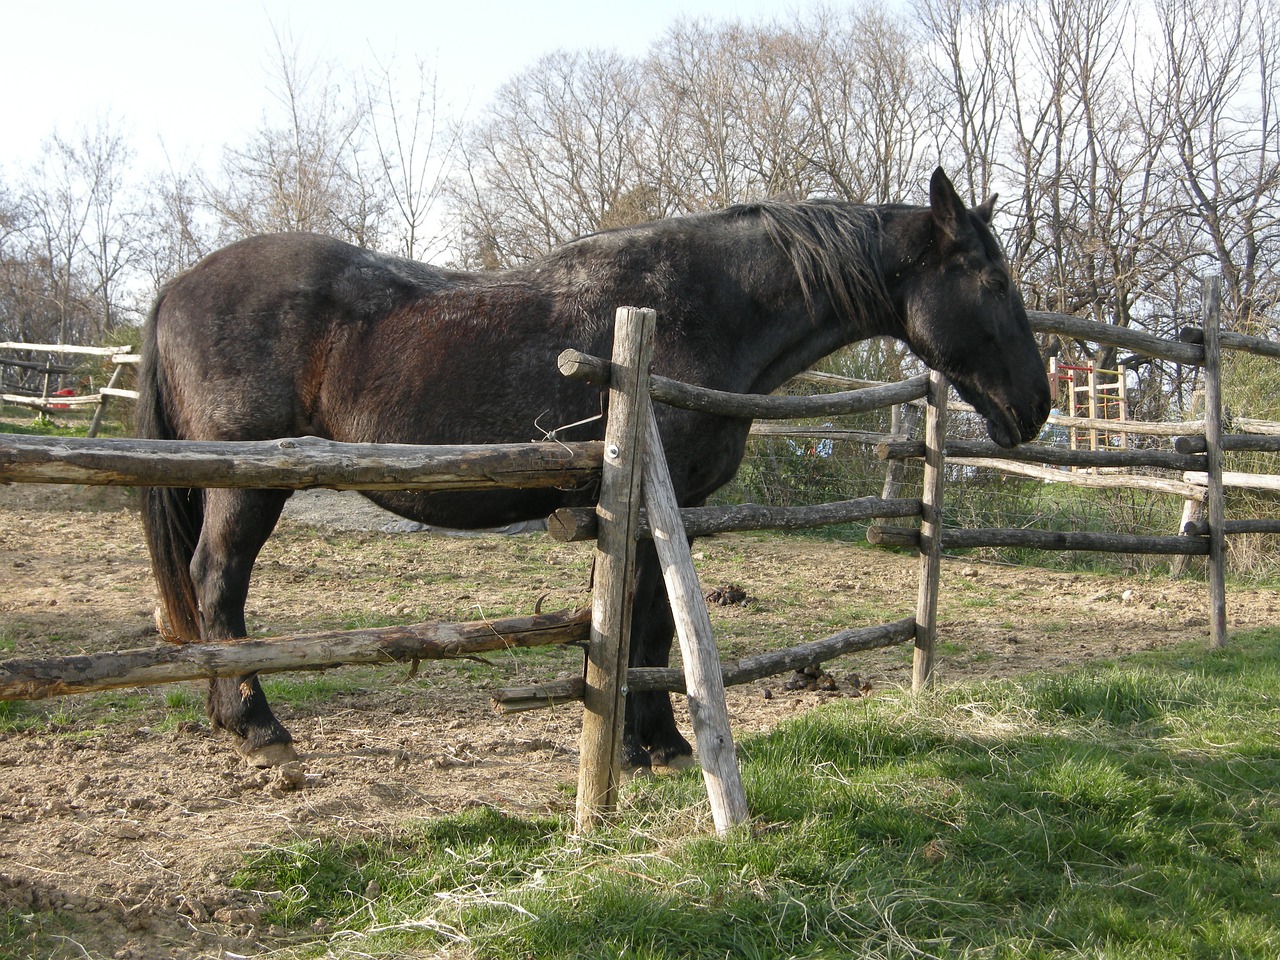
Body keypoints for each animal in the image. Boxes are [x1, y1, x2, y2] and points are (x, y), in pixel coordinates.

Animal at [137, 165, 1049, 768]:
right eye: (993, 279)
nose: (1034, 407)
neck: (696, 307)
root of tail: (176, 283)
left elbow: (642, 622)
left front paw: (644, 739)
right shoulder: (661, 507)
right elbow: (649, 619)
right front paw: (661, 742)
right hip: (247, 487)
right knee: (218, 585)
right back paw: (257, 725)